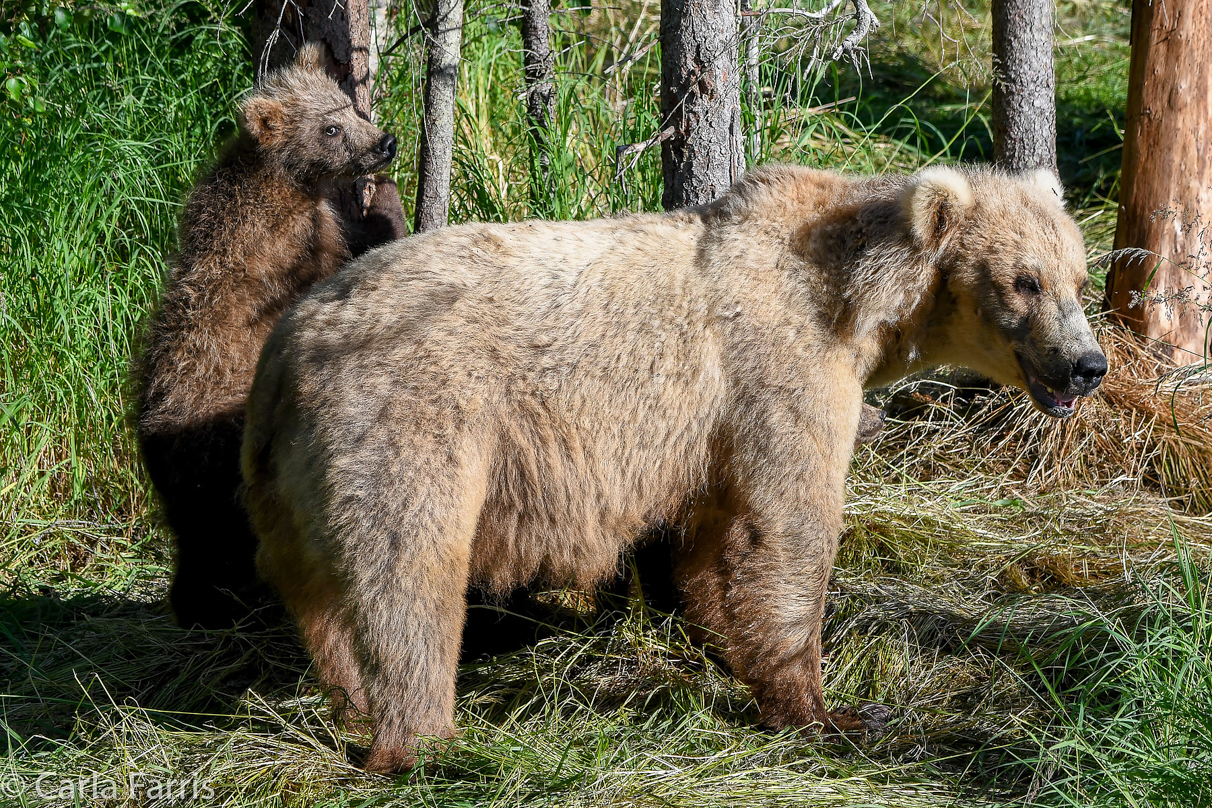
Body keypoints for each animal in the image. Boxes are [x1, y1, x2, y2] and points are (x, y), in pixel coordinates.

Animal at [238, 162, 1110, 770]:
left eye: (1078, 275)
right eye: (1023, 280)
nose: (1087, 365)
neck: (858, 303)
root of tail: (289, 346)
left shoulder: (714, 429)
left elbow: (715, 535)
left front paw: (723, 643)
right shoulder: (779, 369)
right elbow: (788, 525)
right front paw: (828, 709)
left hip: (284, 473)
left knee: (315, 588)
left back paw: (352, 703)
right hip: (409, 420)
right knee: (409, 571)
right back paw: (422, 738)